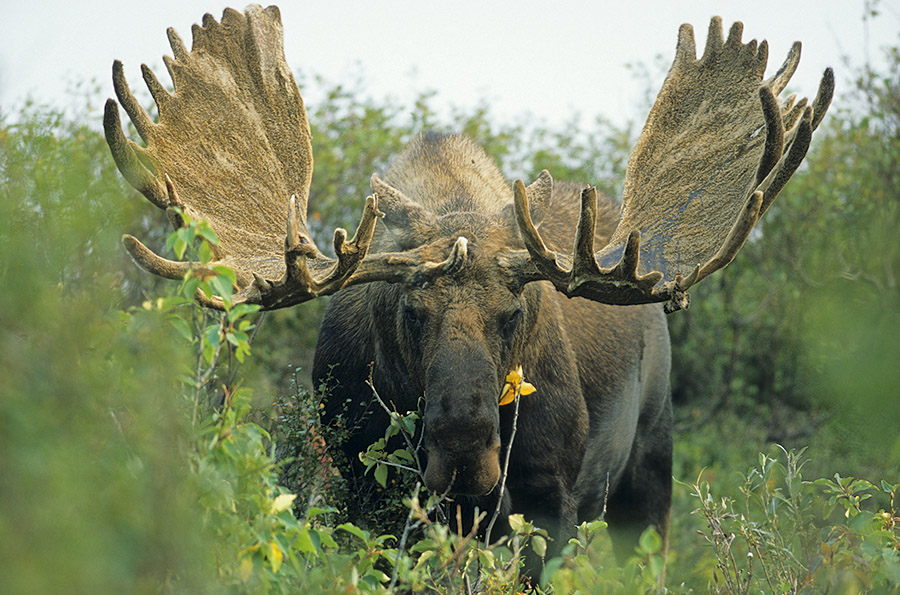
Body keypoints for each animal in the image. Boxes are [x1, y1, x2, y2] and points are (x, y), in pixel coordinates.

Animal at [102, 3, 832, 564]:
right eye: (409, 311)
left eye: (515, 312)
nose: (463, 451)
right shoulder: (361, 494)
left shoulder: (548, 498)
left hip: (650, 469)